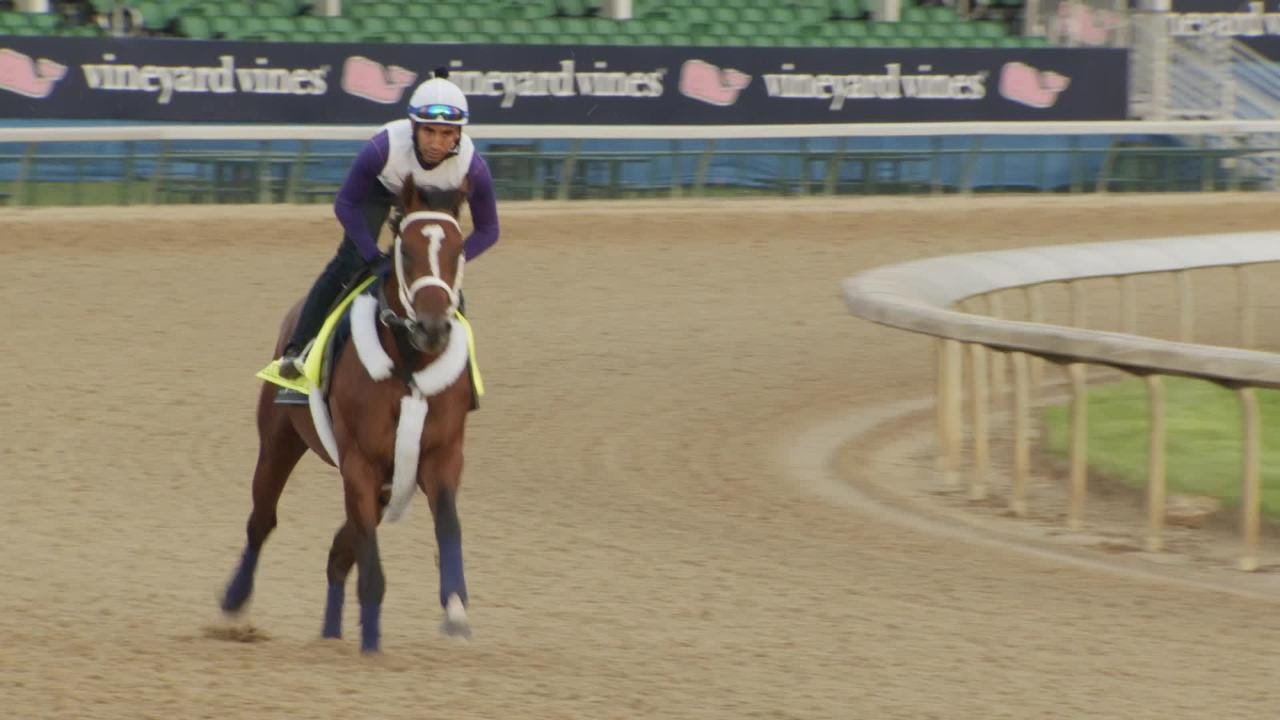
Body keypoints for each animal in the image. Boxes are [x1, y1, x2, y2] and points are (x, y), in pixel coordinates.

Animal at [219, 177, 476, 653]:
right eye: (406, 251)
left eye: (458, 249)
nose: (432, 327)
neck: (410, 362)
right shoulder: (360, 460)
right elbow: (369, 563)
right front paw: (372, 642)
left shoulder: (440, 456)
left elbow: (448, 526)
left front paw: (455, 612)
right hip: (280, 440)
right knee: (262, 519)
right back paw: (235, 599)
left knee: (339, 554)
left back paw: (331, 633)